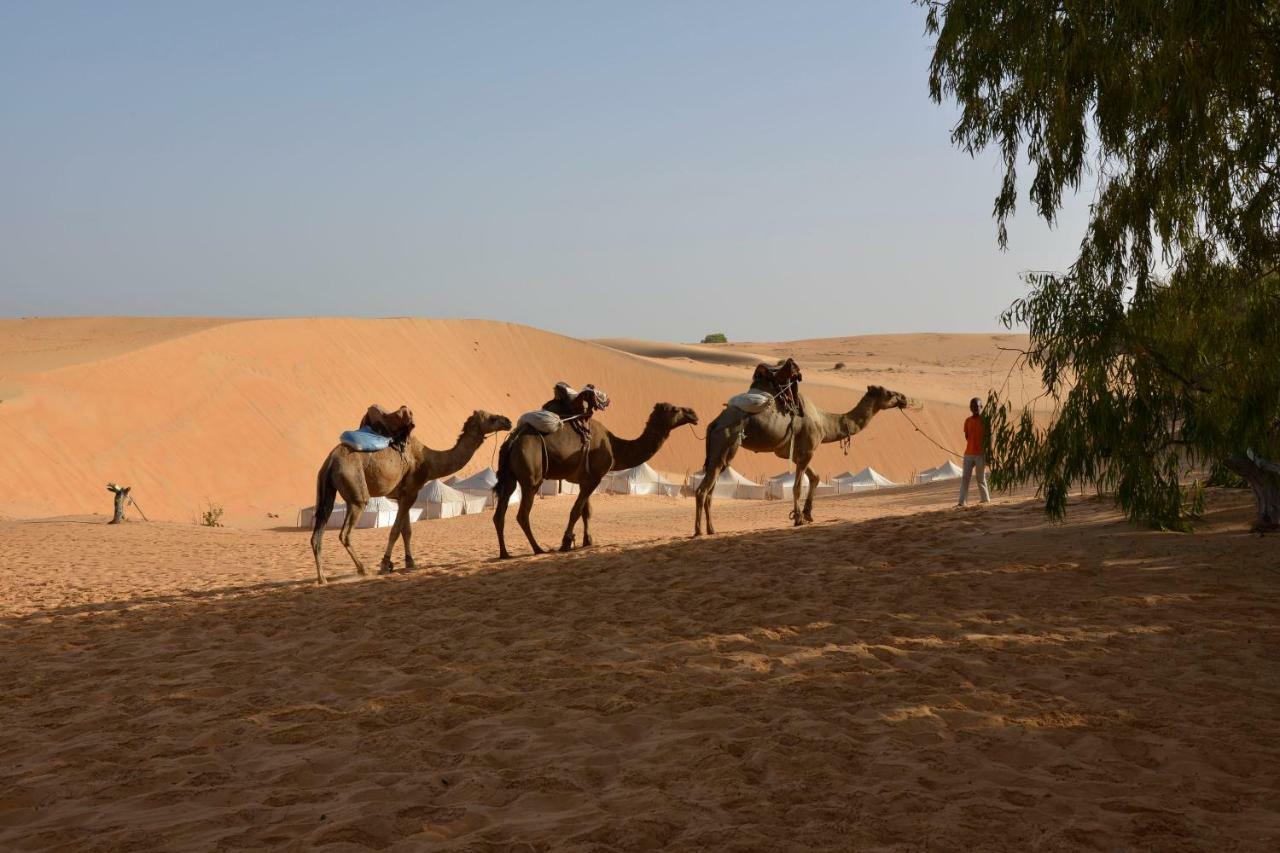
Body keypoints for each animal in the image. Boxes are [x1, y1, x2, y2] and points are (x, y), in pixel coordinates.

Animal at [309, 409, 509, 581]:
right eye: (492, 418)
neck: (429, 461)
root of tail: (330, 461)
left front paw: (410, 562)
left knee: (317, 532)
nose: (507, 421)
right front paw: (385, 564)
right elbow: (396, 530)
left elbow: (407, 530)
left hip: (326, 489)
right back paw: (363, 570)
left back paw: (322, 578)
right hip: (355, 490)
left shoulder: (402, 496)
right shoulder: (412, 492)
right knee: (345, 533)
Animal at [499, 404, 701, 558]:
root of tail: (512, 441)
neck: (614, 446)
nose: (693, 413)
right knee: (522, 514)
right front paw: (566, 542)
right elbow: (576, 511)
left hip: (509, 478)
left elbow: (586, 511)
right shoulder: (595, 478)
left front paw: (587, 541)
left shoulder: (585, 479)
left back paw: (505, 553)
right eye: (675, 409)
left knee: (500, 513)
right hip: (531, 477)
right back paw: (538, 549)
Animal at [701, 384, 911, 532]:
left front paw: (808, 514)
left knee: (708, 487)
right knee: (705, 487)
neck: (825, 423)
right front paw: (798, 518)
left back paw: (710, 529)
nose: (904, 398)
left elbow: (815, 477)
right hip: (725, 443)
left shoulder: (796, 454)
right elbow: (797, 486)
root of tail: (715, 423)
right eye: (888, 393)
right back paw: (700, 531)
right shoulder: (809, 450)